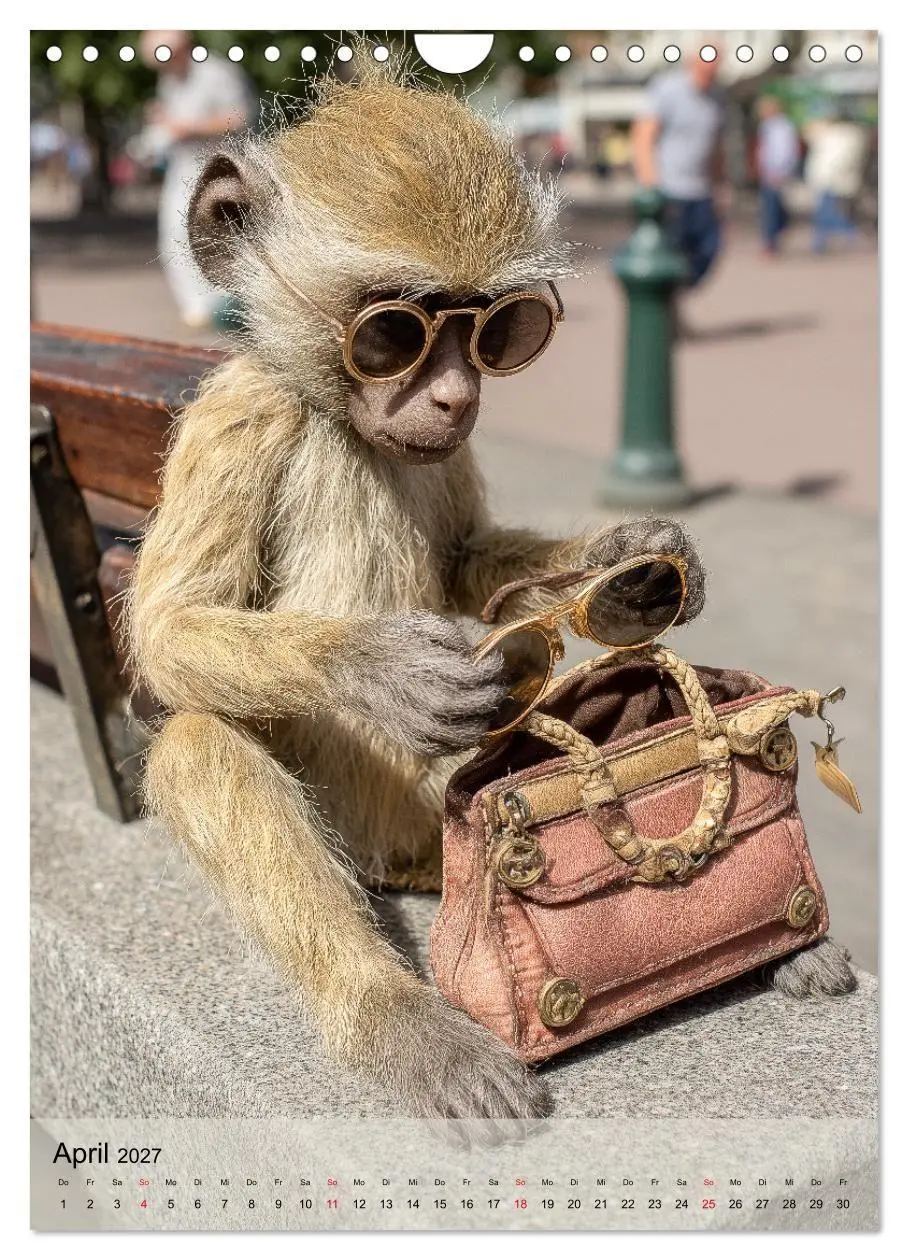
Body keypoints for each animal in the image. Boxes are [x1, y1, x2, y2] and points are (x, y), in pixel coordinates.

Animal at [127, 61, 854, 1123]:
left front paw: (630, 570)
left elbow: (471, 558)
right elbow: (167, 630)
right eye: (393, 333)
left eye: (497, 331)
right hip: (390, 826)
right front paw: (384, 666)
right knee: (197, 739)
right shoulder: (245, 414)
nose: (453, 395)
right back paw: (395, 1014)